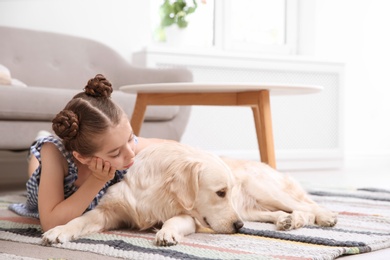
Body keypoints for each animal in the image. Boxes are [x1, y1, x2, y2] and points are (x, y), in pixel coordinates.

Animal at [41, 142, 336, 246]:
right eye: (221, 193)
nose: (238, 227)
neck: (157, 189)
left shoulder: (189, 217)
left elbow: (173, 221)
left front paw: (166, 233)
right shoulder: (108, 211)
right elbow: (79, 220)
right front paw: (58, 231)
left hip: (263, 189)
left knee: (306, 206)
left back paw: (321, 217)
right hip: (251, 207)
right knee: (275, 213)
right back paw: (286, 220)